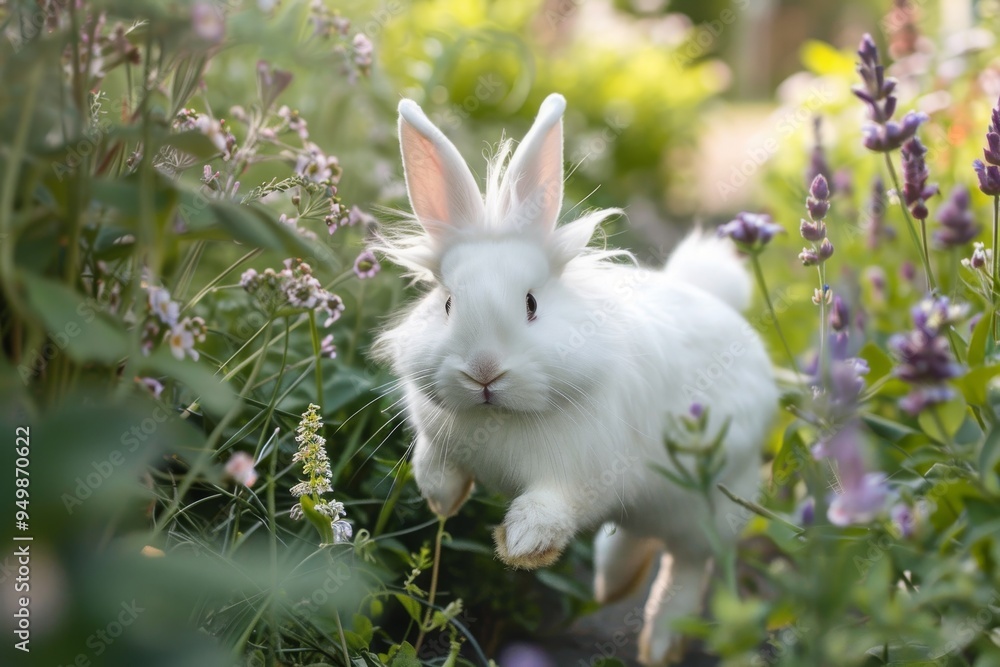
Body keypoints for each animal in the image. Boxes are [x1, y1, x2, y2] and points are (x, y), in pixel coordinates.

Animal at [373, 92, 779, 665]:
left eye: (530, 303)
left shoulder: (581, 476)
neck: (500, 417)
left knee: (687, 563)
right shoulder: (437, 437)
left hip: (712, 501)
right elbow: (433, 465)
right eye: (447, 303)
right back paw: (611, 583)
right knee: (640, 536)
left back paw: (659, 641)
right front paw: (440, 501)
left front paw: (521, 546)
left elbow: (551, 508)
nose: (483, 371)